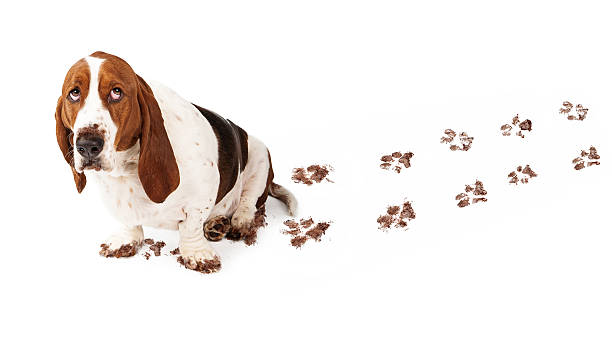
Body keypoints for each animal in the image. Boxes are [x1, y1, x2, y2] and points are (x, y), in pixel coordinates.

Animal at [55, 51, 296, 272]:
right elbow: (128, 220)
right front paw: (126, 240)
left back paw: (239, 221)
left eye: (116, 92)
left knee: (249, 200)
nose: (87, 145)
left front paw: (197, 253)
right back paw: (216, 223)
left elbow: (191, 226)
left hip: (260, 156)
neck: (128, 165)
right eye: (74, 93)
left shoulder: (203, 192)